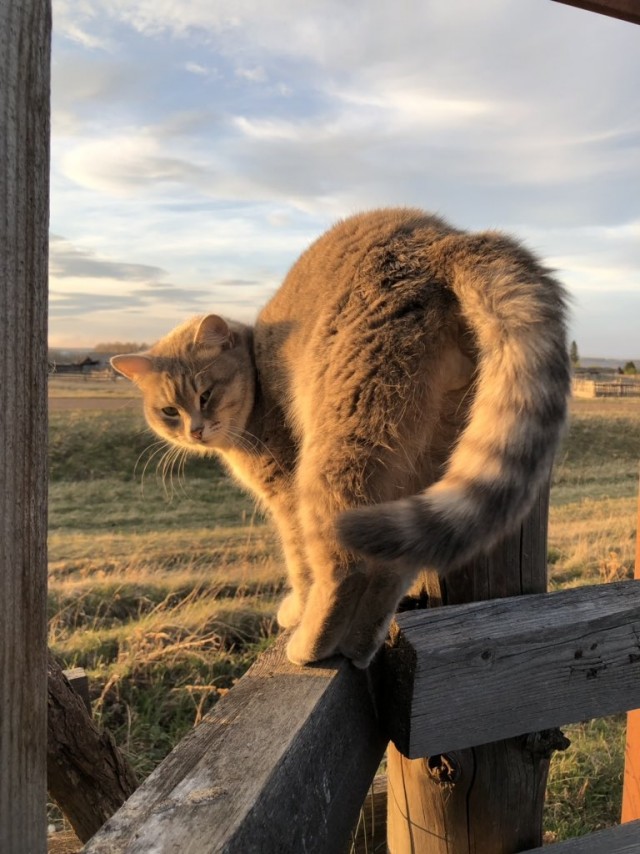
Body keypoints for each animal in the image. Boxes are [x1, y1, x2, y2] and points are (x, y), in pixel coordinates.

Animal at [111, 207, 568, 668]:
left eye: (206, 395)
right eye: (169, 411)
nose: (196, 430)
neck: (256, 383)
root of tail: (440, 239)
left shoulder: (285, 495)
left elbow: (298, 562)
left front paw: (296, 608)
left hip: (337, 456)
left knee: (343, 567)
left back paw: (309, 647)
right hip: (428, 453)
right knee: (395, 563)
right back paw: (360, 646)